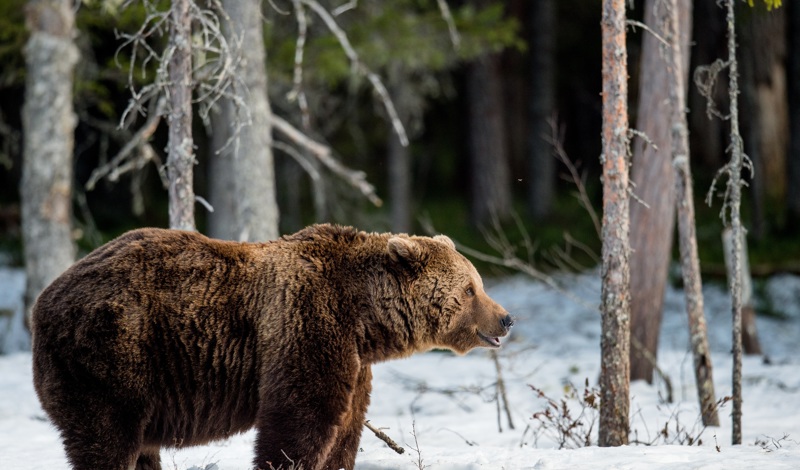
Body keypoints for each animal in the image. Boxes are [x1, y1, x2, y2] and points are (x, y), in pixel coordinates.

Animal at [31, 225, 512, 470]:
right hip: (111, 354)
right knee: (106, 441)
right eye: (470, 289)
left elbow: (345, 432)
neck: (366, 317)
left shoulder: (356, 363)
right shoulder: (307, 323)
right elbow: (299, 421)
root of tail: (43, 300)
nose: (506, 317)